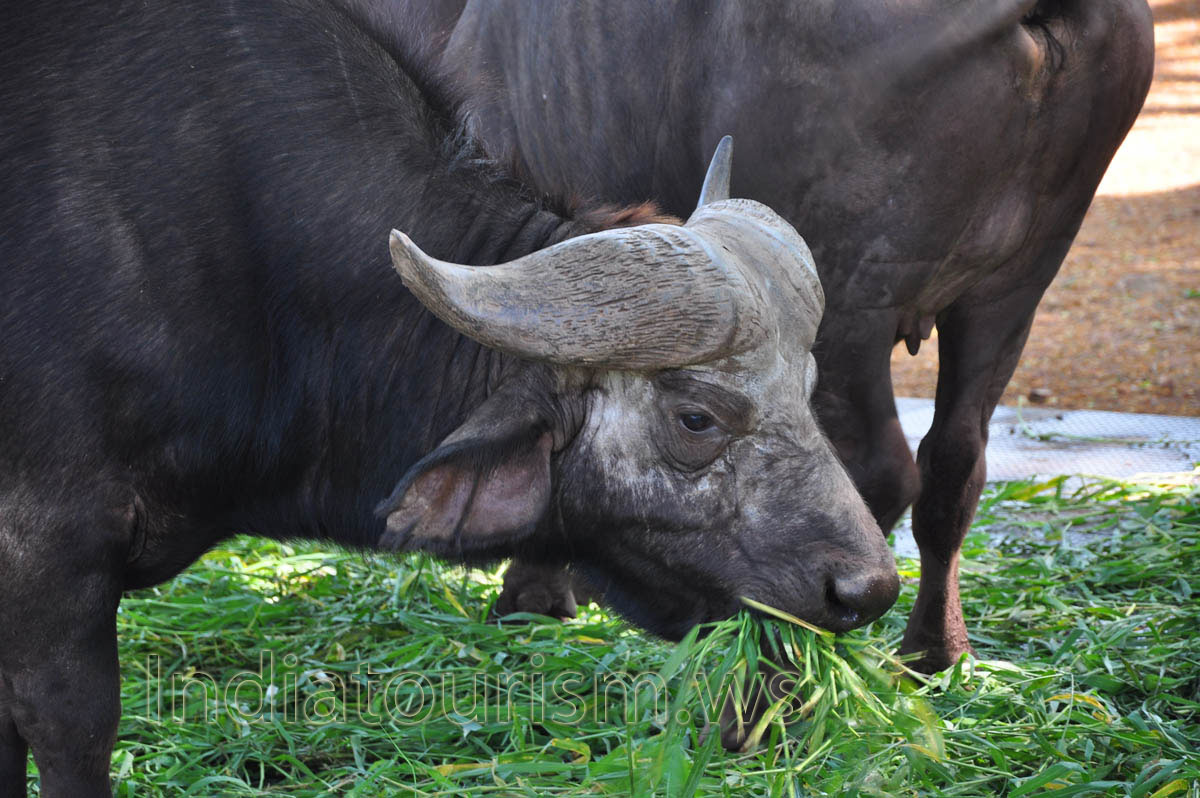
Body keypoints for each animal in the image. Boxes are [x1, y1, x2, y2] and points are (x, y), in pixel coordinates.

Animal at [441, 0, 1156, 673]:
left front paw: (534, 595)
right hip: (1014, 289)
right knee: (956, 464)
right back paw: (932, 654)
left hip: (854, 296)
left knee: (881, 469)